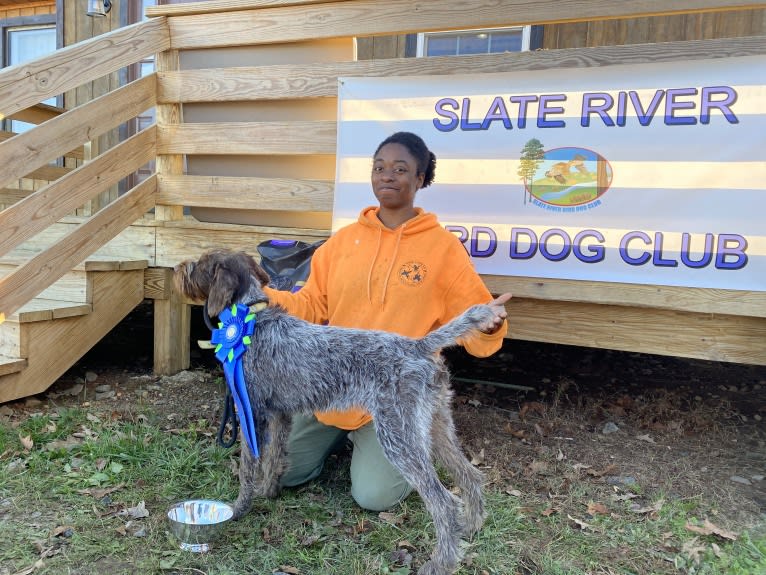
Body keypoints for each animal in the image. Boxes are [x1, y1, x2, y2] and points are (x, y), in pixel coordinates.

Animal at [174, 249, 498, 575]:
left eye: (200, 264)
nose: (177, 267)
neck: (252, 320)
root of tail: (418, 346)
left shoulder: (253, 412)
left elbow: (248, 467)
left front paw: (239, 508)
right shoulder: (279, 415)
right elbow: (274, 458)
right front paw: (268, 491)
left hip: (398, 435)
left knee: (444, 502)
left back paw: (440, 562)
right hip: (435, 426)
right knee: (470, 475)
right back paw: (471, 527)